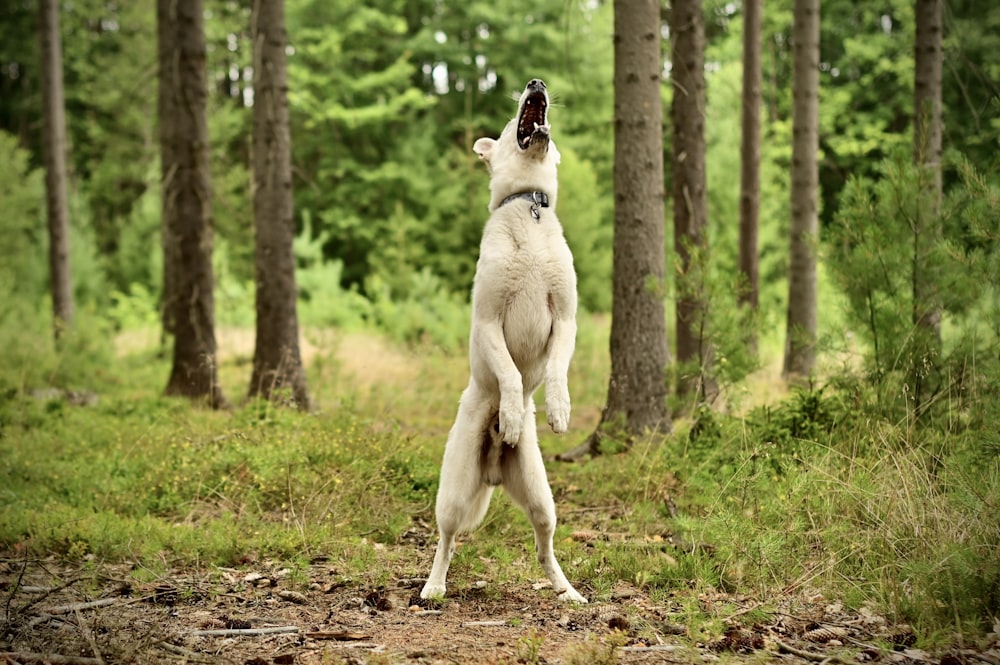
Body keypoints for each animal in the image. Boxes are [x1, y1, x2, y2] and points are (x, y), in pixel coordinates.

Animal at [420, 78, 584, 600]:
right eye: (511, 120)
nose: (537, 83)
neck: (527, 204)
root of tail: (492, 469)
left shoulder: (566, 319)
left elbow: (556, 369)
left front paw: (558, 409)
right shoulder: (489, 321)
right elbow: (511, 375)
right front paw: (511, 415)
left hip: (542, 498)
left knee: (544, 548)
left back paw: (569, 592)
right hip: (452, 493)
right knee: (446, 540)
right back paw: (433, 587)